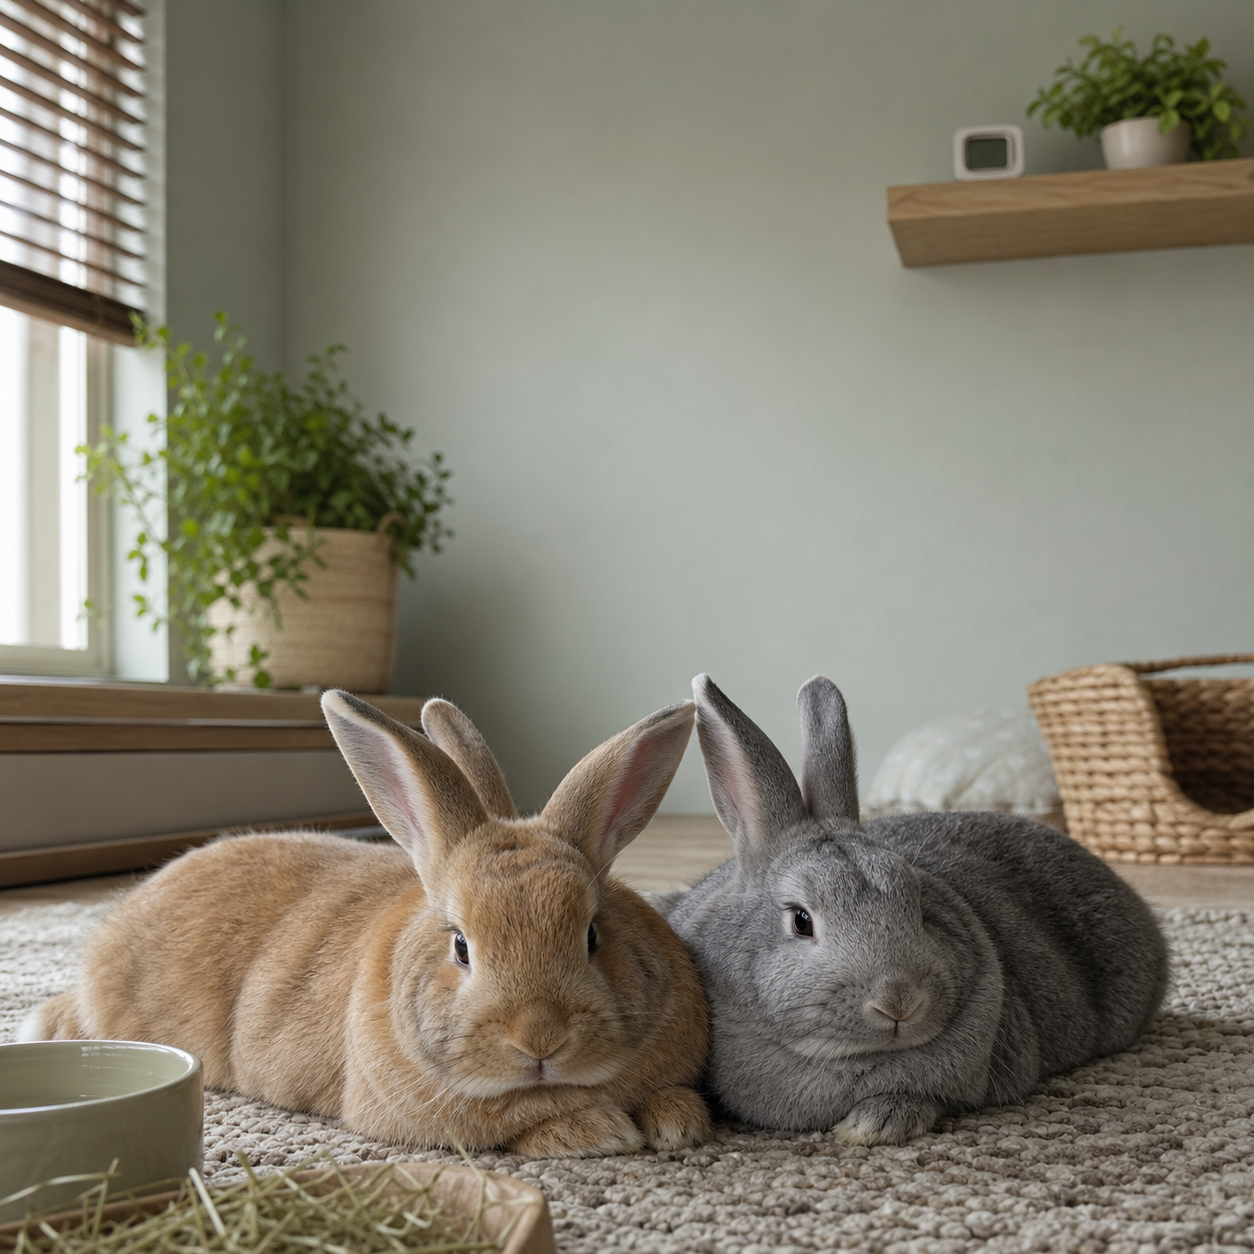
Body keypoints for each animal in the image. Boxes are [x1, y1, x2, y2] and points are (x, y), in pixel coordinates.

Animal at [24, 691, 713, 1157]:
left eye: (593, 934)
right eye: (461, 947)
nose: (539, 1038)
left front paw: (678, 1121)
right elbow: (529, 1124)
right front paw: (598, 1131)